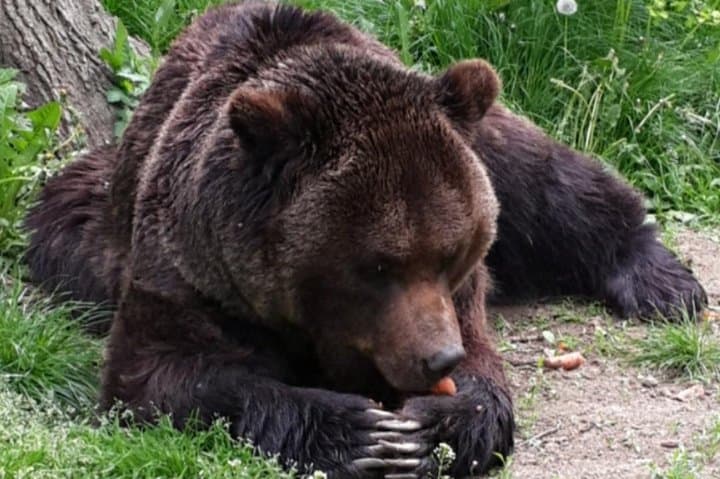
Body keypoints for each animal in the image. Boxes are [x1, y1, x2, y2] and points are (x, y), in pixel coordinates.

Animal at [25, 2, 706, 478]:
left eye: (450, 254)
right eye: (378, 266)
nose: (439, 359)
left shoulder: (463, 294)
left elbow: (485, 376)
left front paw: (437, 426)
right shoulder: (191, 271)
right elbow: (162, 373)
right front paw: (359, 432)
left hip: (480, 132)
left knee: (546, 179)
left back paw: (663, 281)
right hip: (86, 228)